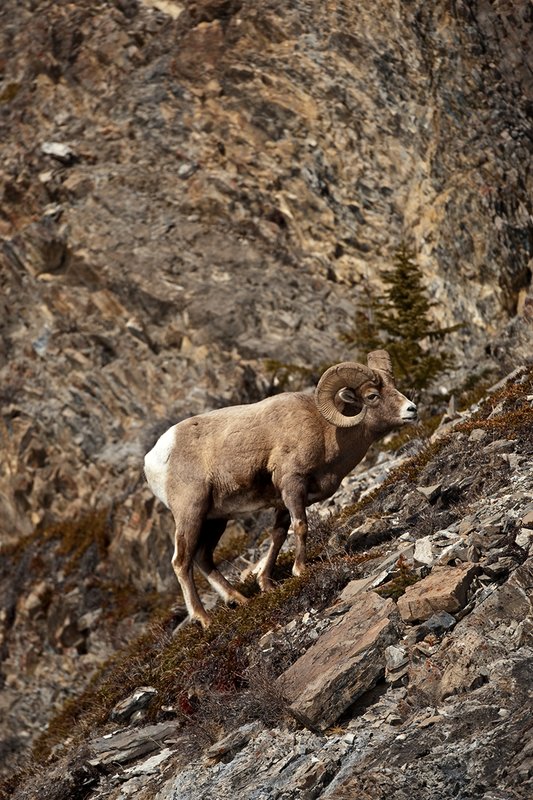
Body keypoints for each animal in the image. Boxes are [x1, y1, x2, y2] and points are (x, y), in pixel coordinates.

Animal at [144, 349, 417, 628]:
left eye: (394, 386)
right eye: (372, 396)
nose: (412, 410)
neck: (326, 430)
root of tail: (153, 458)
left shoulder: (283, 501)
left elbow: (278, 536)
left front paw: (266, 584)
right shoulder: (292, 485)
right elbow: (301, 526)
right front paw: (301, 569)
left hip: (215, 519)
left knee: (202, 557)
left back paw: (240, 600)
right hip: (191, 513)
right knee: (181, 562)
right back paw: (204, 618)